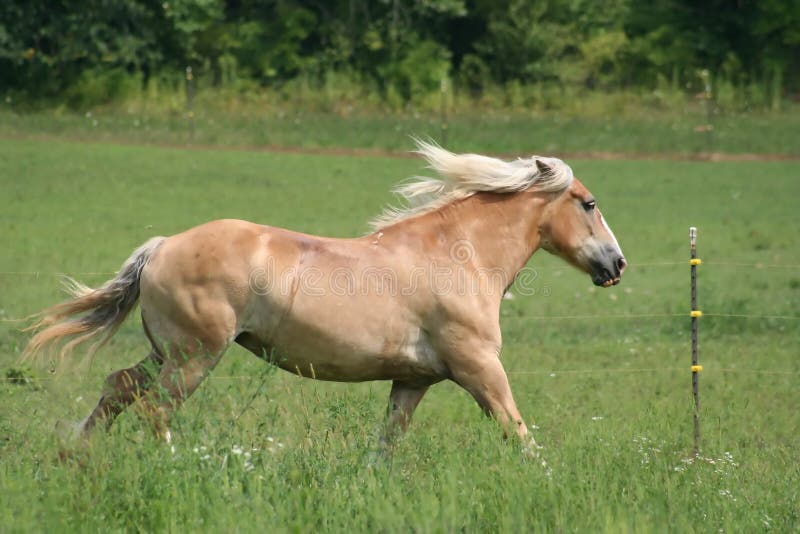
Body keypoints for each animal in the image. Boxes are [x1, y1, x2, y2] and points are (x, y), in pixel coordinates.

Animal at [23, 141, 626, 453]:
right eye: (590, 203)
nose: (616, 265)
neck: (458, 255)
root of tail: (161, 247)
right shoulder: (478, 367)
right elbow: (517, 431)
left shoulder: (413, 381)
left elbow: (386, 446)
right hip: (194, 357)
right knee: (155, 409)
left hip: (165, 352)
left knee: (118, 387)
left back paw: (77, 455)